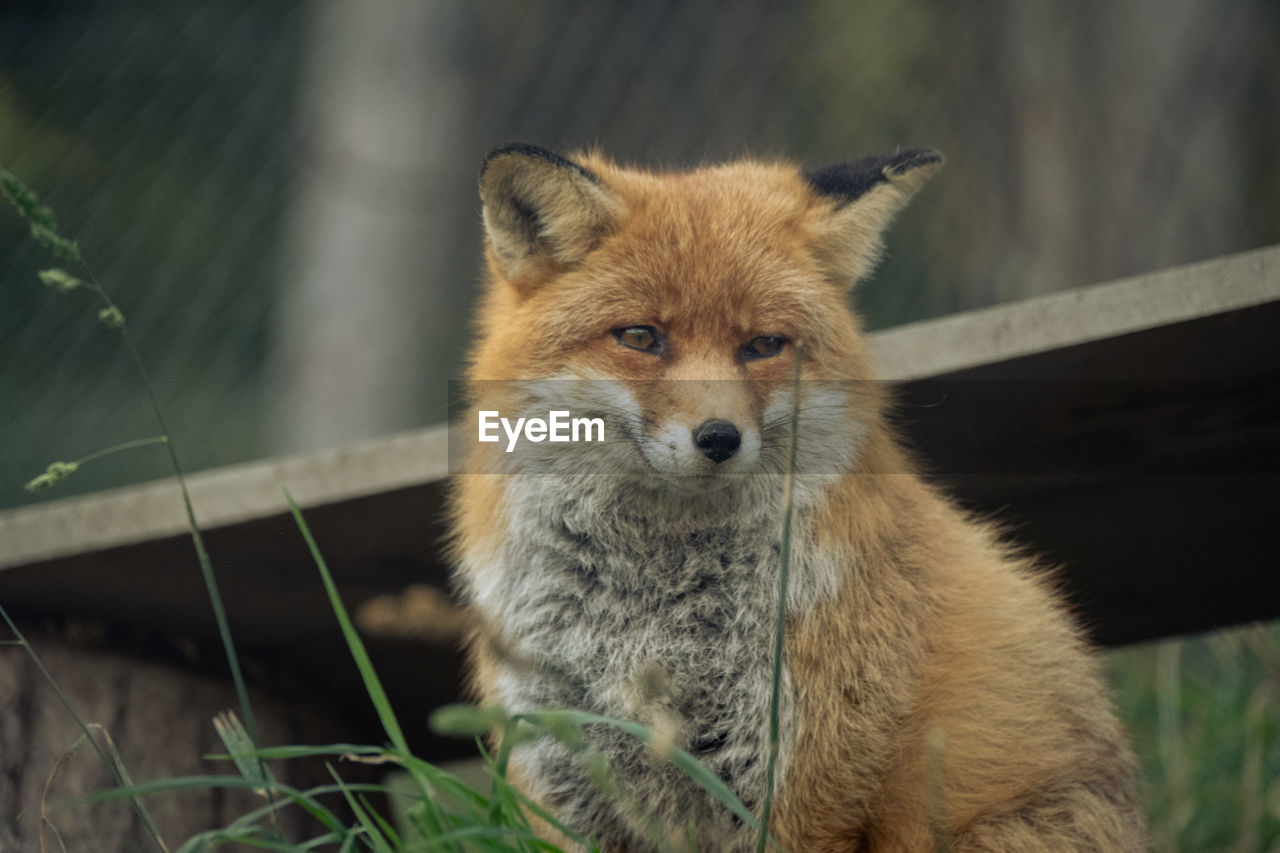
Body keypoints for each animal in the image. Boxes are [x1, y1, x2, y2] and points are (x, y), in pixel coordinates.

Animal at [445, 142, 1146, 845]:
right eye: (640, 337)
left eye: (763, 345)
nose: (719, 437)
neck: (647, 616)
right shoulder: (562, 779)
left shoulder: (803, 776)